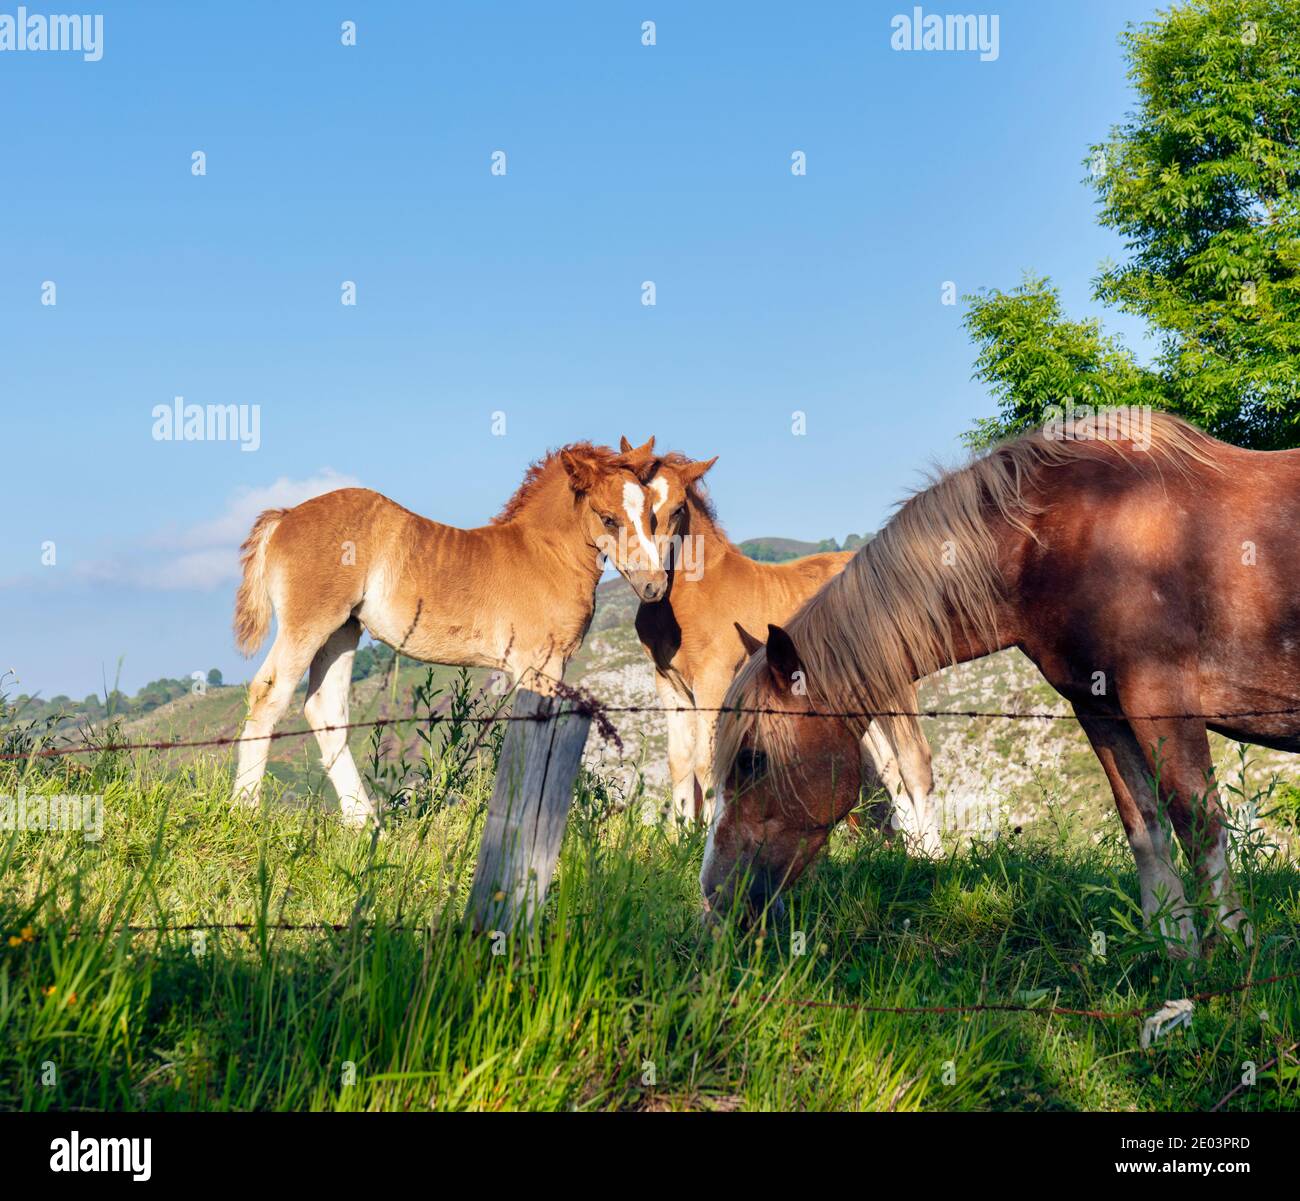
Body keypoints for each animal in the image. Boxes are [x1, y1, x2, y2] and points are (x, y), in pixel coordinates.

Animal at [228, 439, 665, 826]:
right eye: (608, 518)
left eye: (651, 514)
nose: (655, 586)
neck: (543, 555)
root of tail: (285, 515)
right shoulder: (539, 665)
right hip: (310, 622)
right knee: (268, 694)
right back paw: (245, 811)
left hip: (342, 630)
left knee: (325, 710)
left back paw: (365, 824)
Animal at [626, 441, 935, 842]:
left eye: (678, 508)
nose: (652, 581)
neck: (691, 596)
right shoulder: (670, 686)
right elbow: (680, 762)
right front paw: (678, 839)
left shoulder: (714, 681)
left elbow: (706, 760)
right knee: (889, 766)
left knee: (912, 759)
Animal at [707, 413, 1294, 956]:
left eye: (753, 759)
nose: (714, 898)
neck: (1076, 532)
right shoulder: (1101, 709)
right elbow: (1144, 825)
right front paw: (1173, 948)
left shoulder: (1162, 702)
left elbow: (1198, 823)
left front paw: (1233, 953)